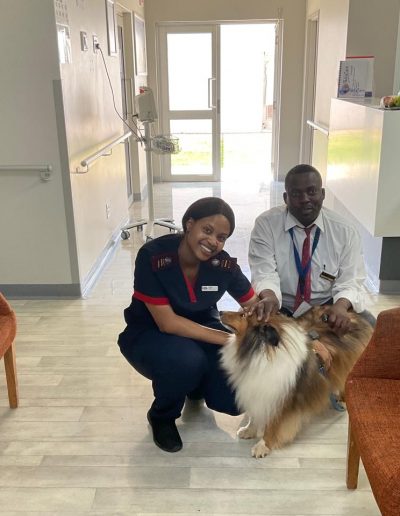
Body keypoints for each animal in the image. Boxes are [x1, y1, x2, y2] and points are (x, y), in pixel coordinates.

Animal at [219, 306, 372, 456]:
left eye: (244, 315)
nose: (220, 312)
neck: (260, 351)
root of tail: (353, 313)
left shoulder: (281, 399)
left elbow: (273, 424)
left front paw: (262, 446)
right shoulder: (256, 390)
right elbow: (254, 415)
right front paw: (249, 430)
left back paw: (343, 401)